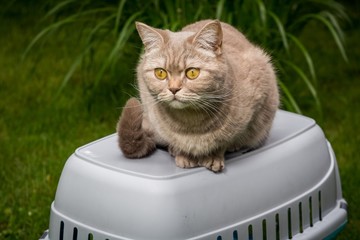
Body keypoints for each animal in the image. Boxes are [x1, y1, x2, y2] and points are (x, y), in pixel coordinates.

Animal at [116, 19, 280, 172]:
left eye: (192, 73)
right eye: (160, 73)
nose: (173, 89)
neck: (191, 123)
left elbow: (224, 141)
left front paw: (213, 156)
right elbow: (175, 140)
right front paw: (183, 154)